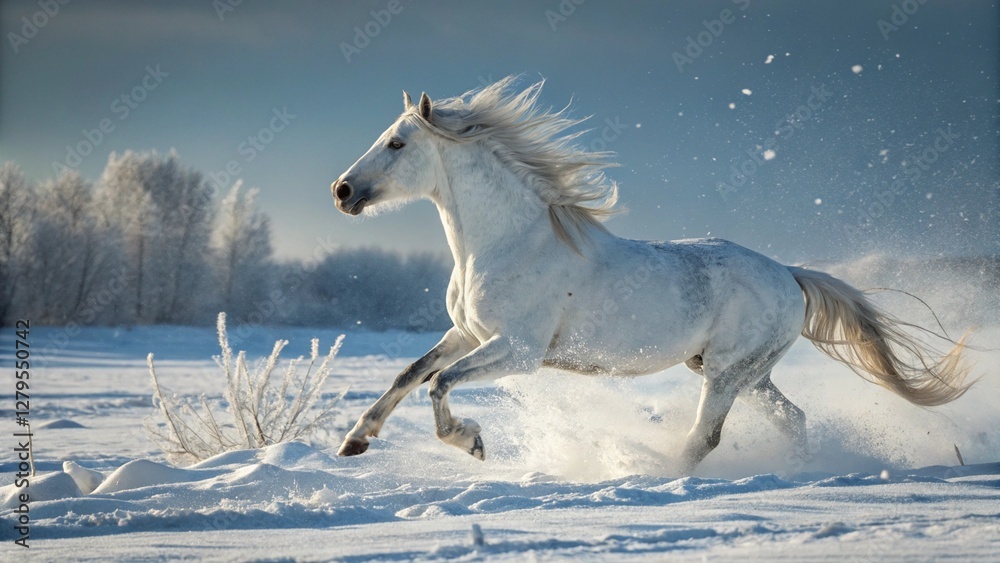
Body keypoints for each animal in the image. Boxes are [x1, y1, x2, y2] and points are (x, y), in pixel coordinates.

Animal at [329, 77, 970, 473]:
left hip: (728, 373)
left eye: (397, 143)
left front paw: (473, 443)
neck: (509, 242)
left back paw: (655, 478)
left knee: (705, 436)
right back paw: (795, 473)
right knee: (793, 419)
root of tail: (788, 275)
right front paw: (354, 441)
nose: (342, 191)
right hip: (742, 373)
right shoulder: (468, 334)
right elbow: (411, 373)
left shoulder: (518, 350)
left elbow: (439, 385)